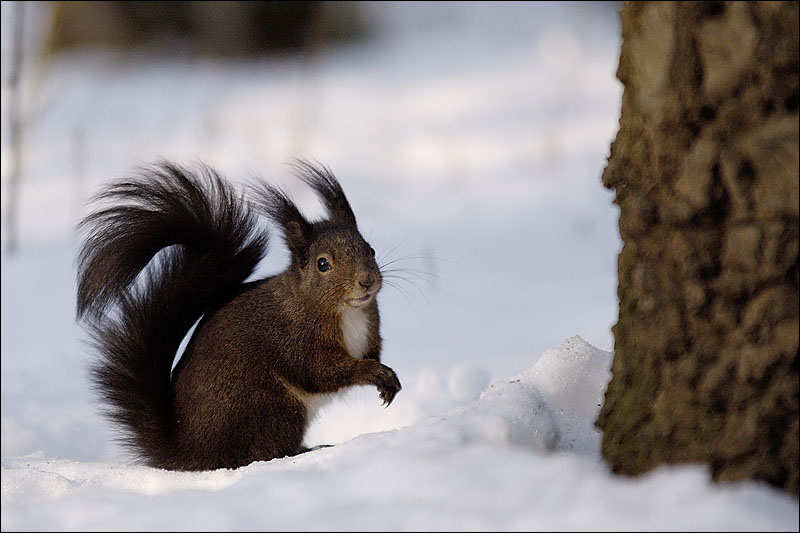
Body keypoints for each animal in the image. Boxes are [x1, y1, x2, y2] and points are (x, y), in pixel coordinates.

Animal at [75, 159, 400, 470]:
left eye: (370, 250)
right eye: (323, 264)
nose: (367, 281)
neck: (346, 311)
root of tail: (191, 451)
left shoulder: (370, 328)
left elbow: (369, 353)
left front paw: (387, 379)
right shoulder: (295, 337)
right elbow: (320, 370)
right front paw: (374, 372)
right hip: (272, 407)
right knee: (260, 453)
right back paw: (306, 450)